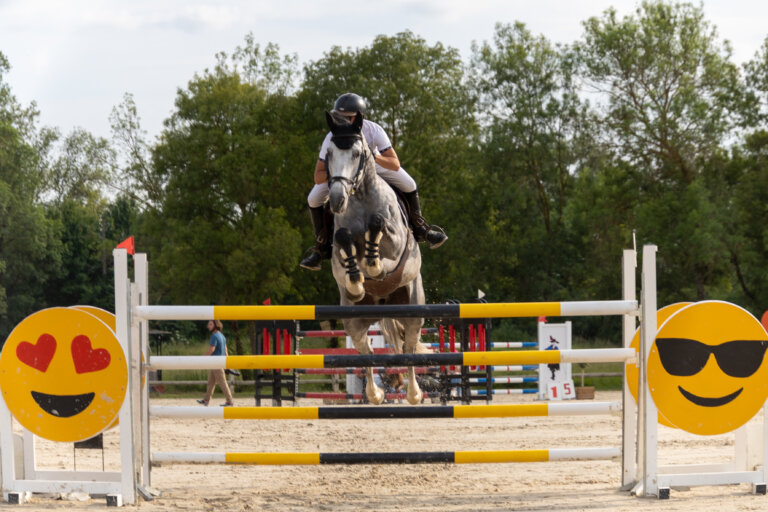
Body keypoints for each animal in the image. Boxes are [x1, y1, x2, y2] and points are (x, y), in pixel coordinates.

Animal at [324, 110, 428, 405]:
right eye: (329, 154)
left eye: (358, 153)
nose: (336, 199)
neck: (359, 198)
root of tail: (384, 304)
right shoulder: (339, 248)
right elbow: (343, 240)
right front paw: (356, 280)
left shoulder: (397, 246)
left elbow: (379, 230)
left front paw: (372, 265)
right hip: (354, 321)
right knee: (366, 352)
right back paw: (375, 394)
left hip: (413, 309)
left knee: (408, 347)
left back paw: (414, 394)